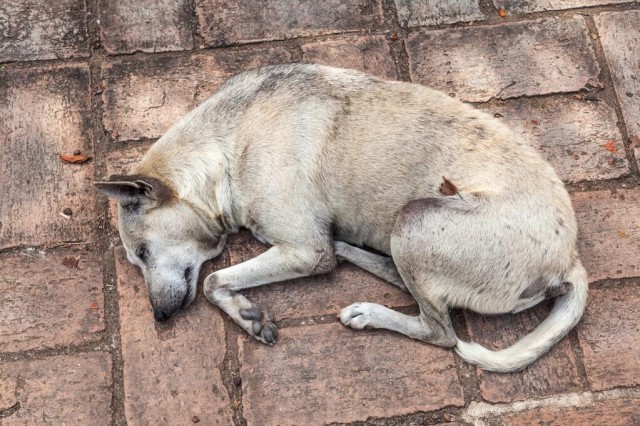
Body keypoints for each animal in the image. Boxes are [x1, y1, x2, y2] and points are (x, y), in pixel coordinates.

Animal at [95, 64, 584, 372]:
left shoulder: (305, 251)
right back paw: (355, 253)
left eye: (143, 252)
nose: (159, 317)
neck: (227, 148)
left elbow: (214, 280)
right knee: (404, 282)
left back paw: (369, 313)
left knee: (441, 331)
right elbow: (220, 281)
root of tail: (569, 262)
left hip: (414, 220)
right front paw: (246, 314)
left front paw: (243, 312)